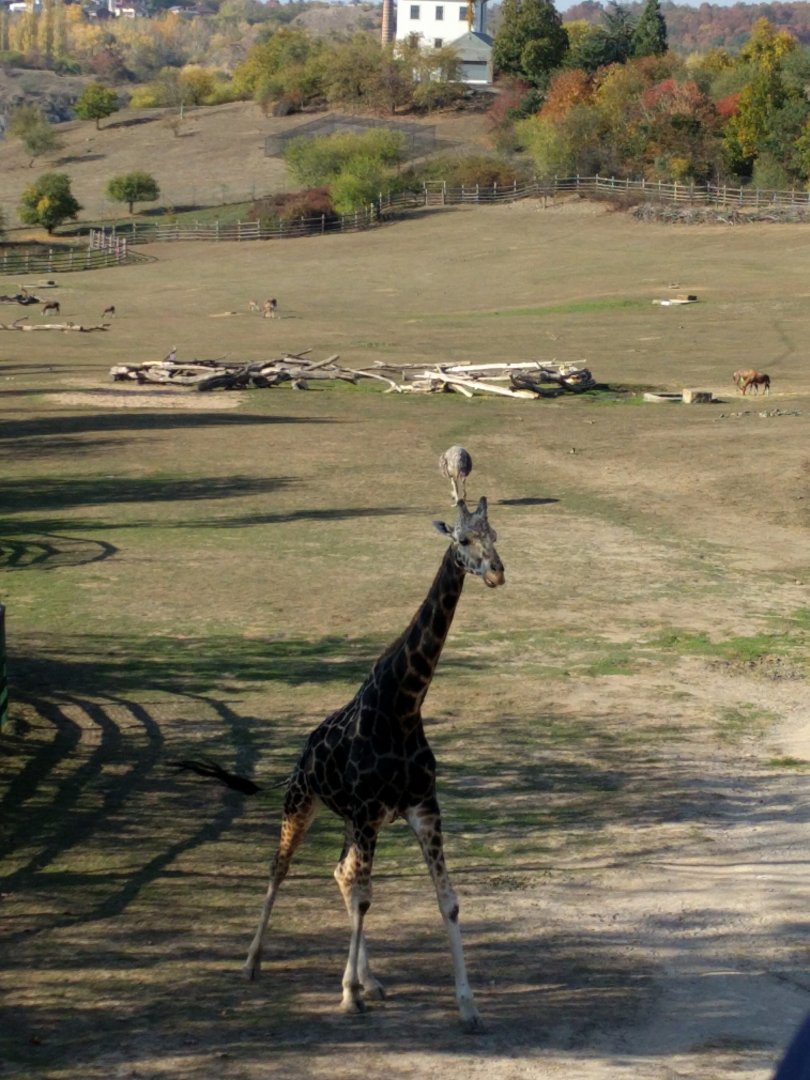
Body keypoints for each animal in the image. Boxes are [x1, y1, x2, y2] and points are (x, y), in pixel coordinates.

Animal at [174, 496, 504, 1030]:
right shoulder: (370, 812)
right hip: (302, 802)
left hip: (350, 820)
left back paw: (369, 978)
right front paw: (348, 995)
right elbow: (367, 896)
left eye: (495, 535)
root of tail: (300, 754)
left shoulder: (421, 808)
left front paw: (467, 1006)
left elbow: (447, 902)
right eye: (463, 539)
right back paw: (252, 963)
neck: (404, 705)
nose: (496, 572)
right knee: (281, 868)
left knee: (341, 873)